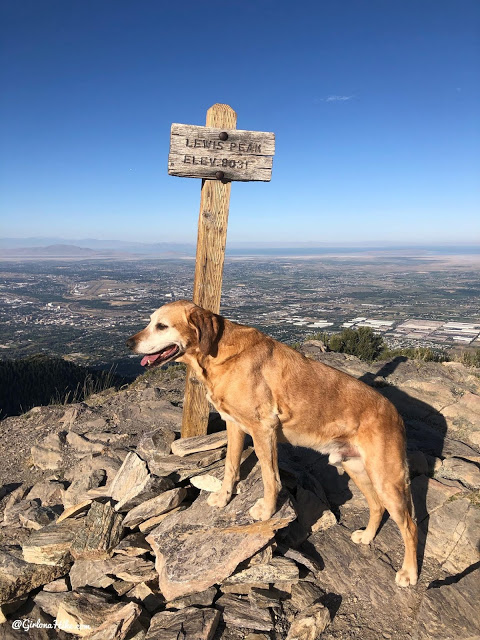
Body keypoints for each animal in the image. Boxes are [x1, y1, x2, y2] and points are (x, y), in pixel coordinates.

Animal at [125, 300, 418, 584]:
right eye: (150, 322)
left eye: (162, 326)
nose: (129, 343)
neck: (219, 353)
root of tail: (396, 415)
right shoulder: (235, 425)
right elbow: (230, 465)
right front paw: (224, 497)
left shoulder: (263, 429)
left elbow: (269, 476)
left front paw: (266, 510)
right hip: (356, 468)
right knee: (377, 506)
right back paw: (367, 537)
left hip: (386, 477)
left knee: (410, 525)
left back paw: (409, 573)